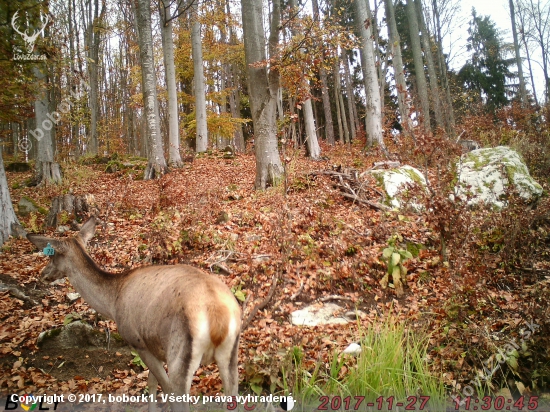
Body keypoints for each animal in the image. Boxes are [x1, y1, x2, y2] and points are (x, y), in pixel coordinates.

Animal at [27, 217, 240, 410]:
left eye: (51, 255)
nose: (42, 274)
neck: (113, 302)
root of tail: (218, 316)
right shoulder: (155, 345)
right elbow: (152, 383)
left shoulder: (138, 341)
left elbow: (161, 386)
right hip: (230, 354)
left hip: (179, 354)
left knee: (177, 394)